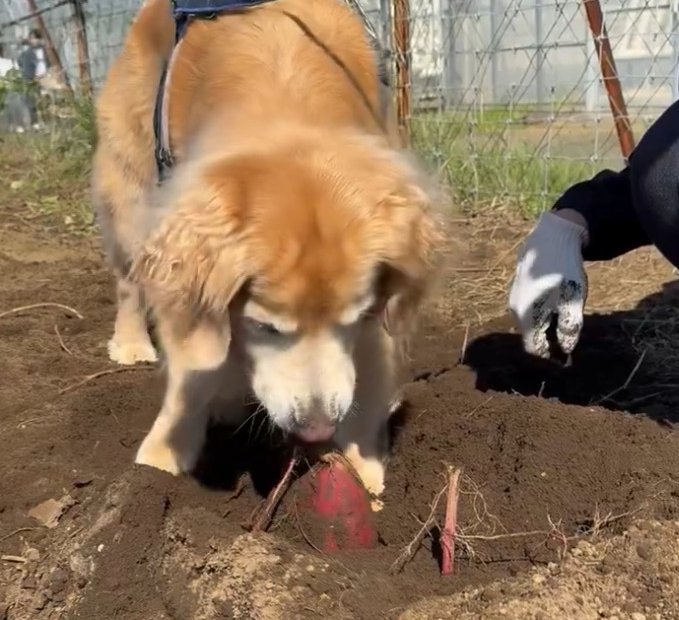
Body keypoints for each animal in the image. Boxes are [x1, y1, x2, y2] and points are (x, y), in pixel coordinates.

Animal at [93, 0, 444, 498]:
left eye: (354, 319)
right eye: (265, 327)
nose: (316, 428)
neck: (287, 95)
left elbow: (374, 360)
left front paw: (365, 469)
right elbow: (194, 363)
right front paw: (161, 459)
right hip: (130, 185)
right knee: (128, 280)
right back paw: (130, 342)